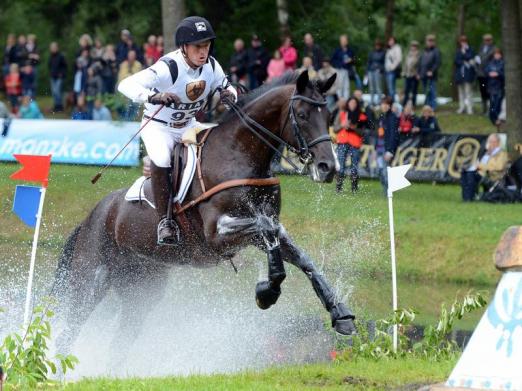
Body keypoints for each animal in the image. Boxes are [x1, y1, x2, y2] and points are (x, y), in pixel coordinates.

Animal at [54, 70, 356, 358]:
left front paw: (340, 313)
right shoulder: (216, 234)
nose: (328, 167)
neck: (239, 154)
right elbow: (266, 229)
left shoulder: (261, 228)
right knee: (67, 332)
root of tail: (90, 218)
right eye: (302, 115)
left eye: (329, 116)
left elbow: (299, 256)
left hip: (142, 288)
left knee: (120, 341)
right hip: (89, 283)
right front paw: (267, 292)